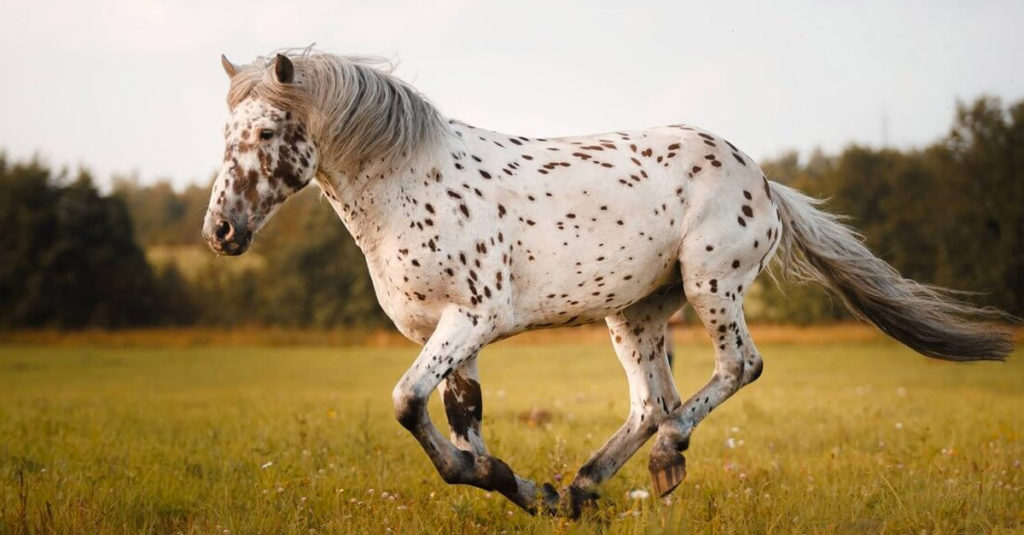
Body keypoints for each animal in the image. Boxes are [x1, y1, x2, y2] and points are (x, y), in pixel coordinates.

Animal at [202, 51, 1013, 517]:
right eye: (225, 135)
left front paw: (513, 483)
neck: (408, 184)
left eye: (268, 133)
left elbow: (407, 403)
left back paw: (660, 462)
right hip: (635, 313)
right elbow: (464, 422)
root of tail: (763, 181)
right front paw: (522, 488)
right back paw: (586, 486)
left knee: (732, 370)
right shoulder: (455, 335)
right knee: (652, 402)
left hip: (712, 282)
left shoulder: (472, 319)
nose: (221, 232)